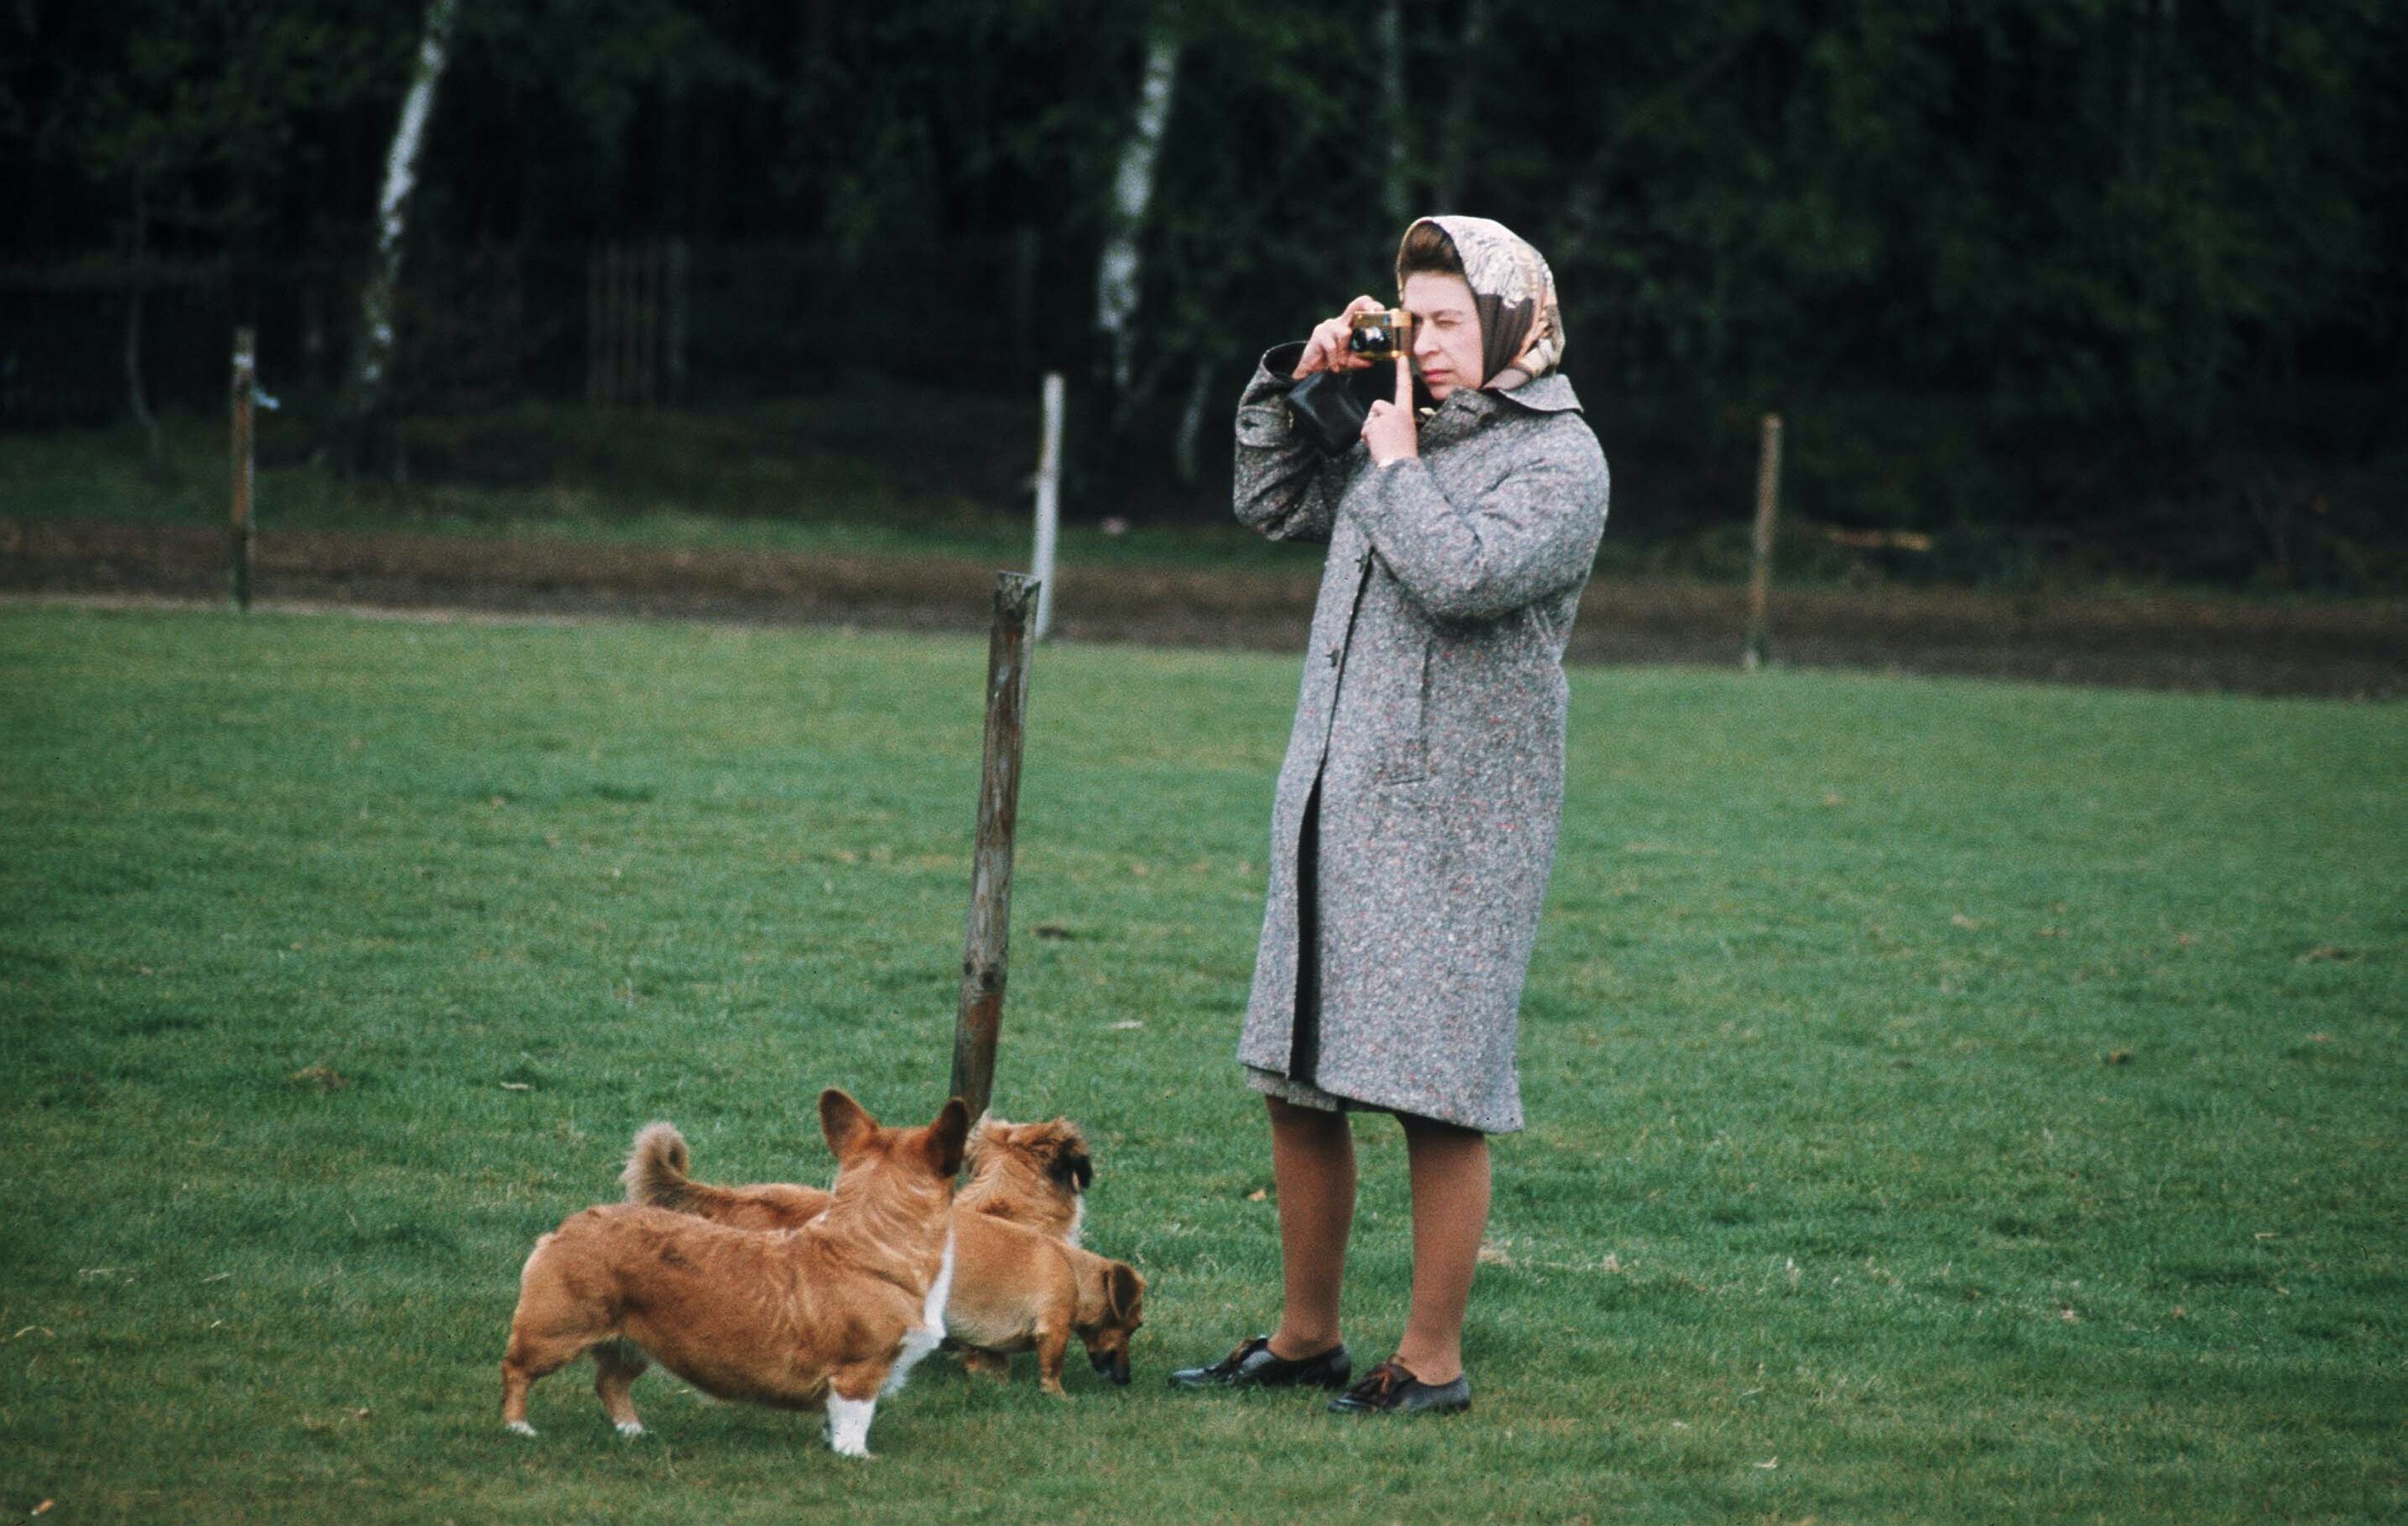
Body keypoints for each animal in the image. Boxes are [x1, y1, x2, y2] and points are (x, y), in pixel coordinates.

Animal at [498, 1083, 968, 1453]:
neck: (872, 1241)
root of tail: (566, 1229)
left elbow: (833, 1421)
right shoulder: (860, 1373)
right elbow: (855, 1421)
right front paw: (856, 1457)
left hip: (634, 1342)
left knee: (610, 1383)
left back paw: (634, 1431)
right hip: (555, 1333)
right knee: (516, 1370)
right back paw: (518, 1428)